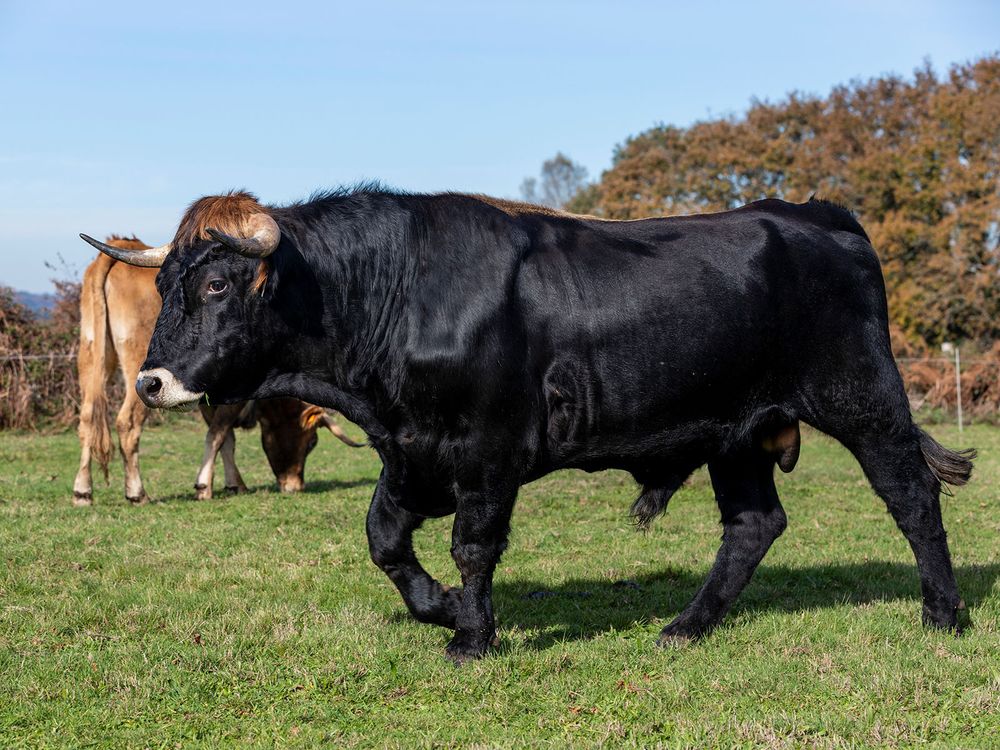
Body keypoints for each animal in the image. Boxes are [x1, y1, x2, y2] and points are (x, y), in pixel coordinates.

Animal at [74, 235, 364, 506]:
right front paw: (205, 485)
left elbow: (225, 438)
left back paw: (82, 491)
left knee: (87, 417)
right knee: (127, 422)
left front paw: (234, 483)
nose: (295, 486)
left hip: (92, 359)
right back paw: (136, 492)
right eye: (312, 442)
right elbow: (219, 433)